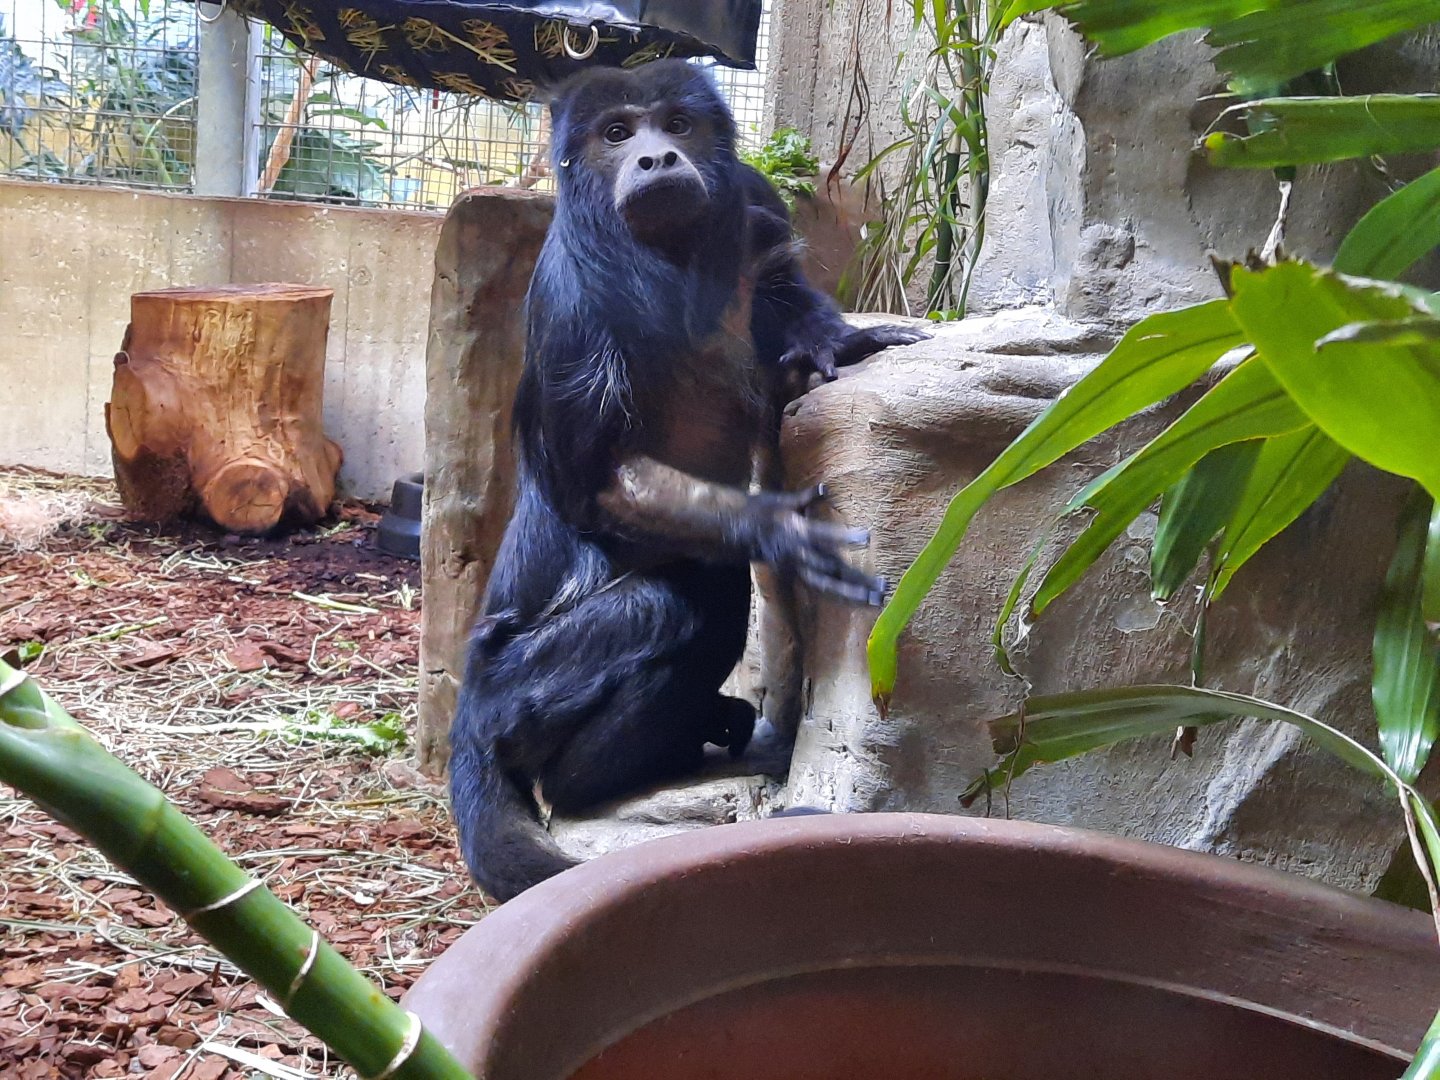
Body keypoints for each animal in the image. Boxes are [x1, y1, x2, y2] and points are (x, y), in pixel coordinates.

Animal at [448, 60, 927, 902]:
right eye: (617, 134)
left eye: (677, 125)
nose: (656, 158)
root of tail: (467, 710)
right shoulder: (571, 305)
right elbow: (590, 485)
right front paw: (778, 531)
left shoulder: (757, 198)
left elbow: (780, 290)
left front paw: (839, 341)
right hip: (510, 696)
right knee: (678, 600)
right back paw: (602, 781)